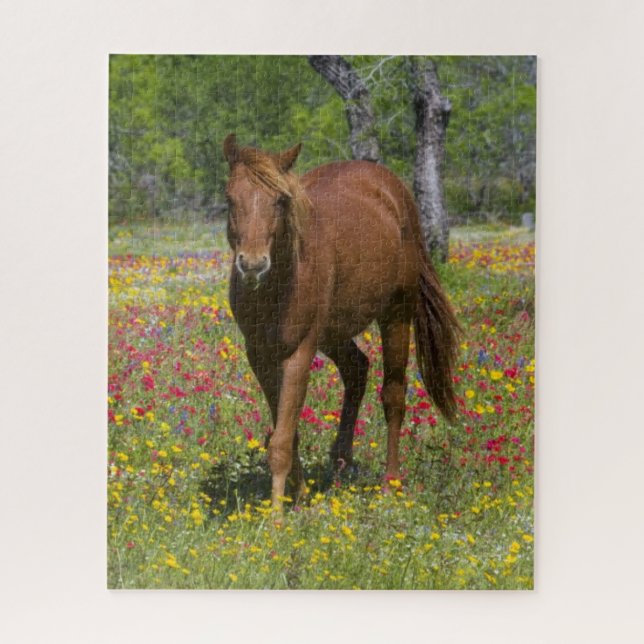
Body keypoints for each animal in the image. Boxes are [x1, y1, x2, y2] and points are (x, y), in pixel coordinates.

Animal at [222, 134, 460, 513]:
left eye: (280, 201)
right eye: (230, 199)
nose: (253, 265)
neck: (280, 284)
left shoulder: (299, 353)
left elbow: (281, 440)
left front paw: (275, 518)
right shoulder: (259, 356)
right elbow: (286, 432)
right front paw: (298, 495)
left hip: (396, 315)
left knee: (393, 394)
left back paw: (390, 485)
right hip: (334, 333)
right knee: (357, 369)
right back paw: (341, 461)